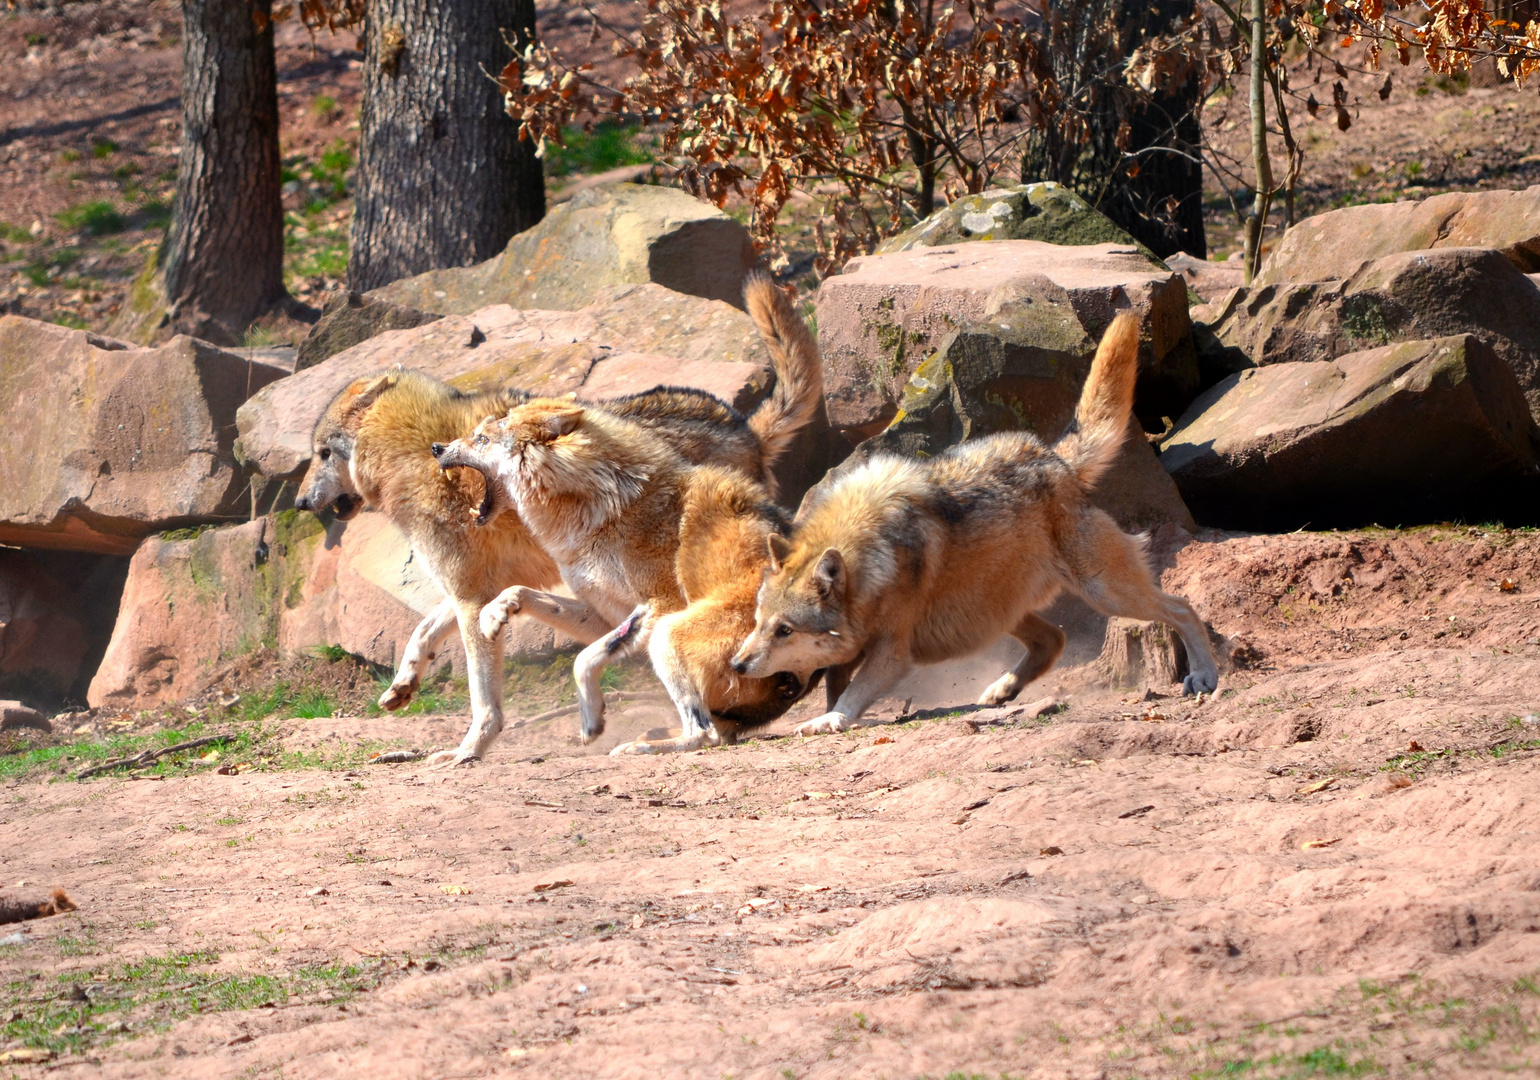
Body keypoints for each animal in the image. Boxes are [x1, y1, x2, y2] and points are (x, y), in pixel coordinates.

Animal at [289, 274, 819, 761]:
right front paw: (403, 684)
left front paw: (468, 751)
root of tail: (747, 430)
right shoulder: (474, 587)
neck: (409, 453)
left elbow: (482, 698)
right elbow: (424, 628)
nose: (297, 503)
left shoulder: (468, 593)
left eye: (322, 454)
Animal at [726, 311, 1219, 733]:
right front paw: (832, 714)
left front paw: (830, 720)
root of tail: (1054, 458)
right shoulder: (852, 650)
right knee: (1053, 640)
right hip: (992, 612)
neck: (867, 556)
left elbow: (850, 696)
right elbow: (835, 684)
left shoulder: (893, 653)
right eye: (758, 622)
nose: (737, 665)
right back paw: (1002, 690)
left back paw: (1204, 676)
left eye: (784, 630)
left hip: (1104, 593)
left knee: (1181, 607)